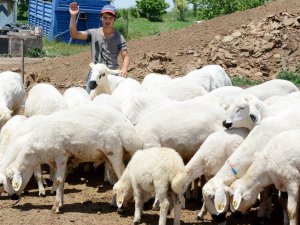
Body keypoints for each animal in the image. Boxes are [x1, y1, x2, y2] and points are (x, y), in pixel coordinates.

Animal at [5, 104, 143, 213]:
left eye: (11, 179)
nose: (12, 197)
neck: (37, 150)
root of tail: (126, 126)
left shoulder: (60, 156)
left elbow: (59, 180)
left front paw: (55, 206)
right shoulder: (64, 159)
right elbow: (62, 181)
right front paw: (61, 203)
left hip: (114, 153)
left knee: (121, 178)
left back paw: (121, 207)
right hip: (108, 156)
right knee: (115, 180)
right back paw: (114, 203)